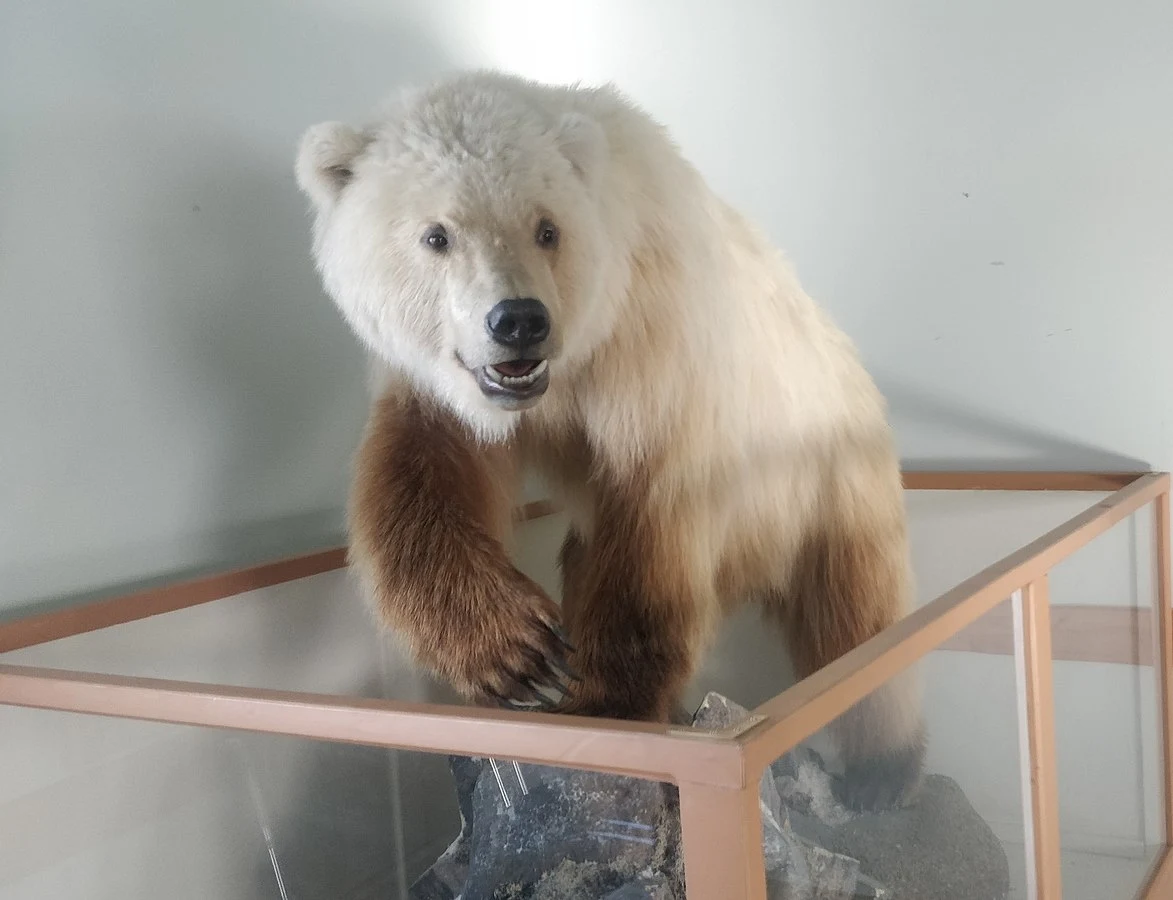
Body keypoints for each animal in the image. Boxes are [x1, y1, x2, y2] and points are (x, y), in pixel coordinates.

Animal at [294, 70, 924, 810]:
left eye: (546, 228)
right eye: (436, 235)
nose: (518, 321)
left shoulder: (654, 357)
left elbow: (650, 528)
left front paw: (604, 710)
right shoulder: (438, 392)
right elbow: (419, 484)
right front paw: (520, 653)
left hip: (830, 476)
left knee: (859, 620)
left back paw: (883, 770)